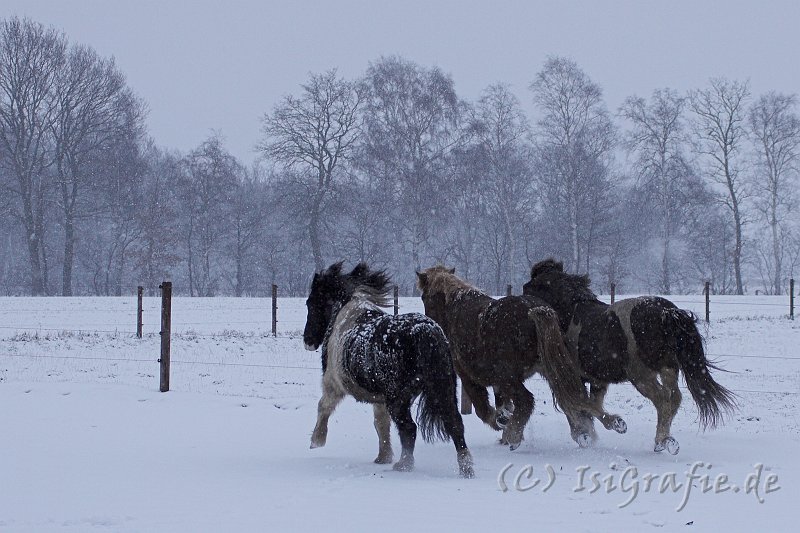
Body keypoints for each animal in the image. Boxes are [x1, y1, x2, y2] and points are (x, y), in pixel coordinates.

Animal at [304, 262, 472, 478]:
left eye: (310, 303)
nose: (307, 341)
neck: (344, 317)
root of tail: (425, 331)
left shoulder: (334, 383)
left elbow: (323, 406)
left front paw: (316, 440)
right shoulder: (380, 398)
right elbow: (381, 424)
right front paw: (383, 456)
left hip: (399, 398)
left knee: (409, 427)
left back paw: (404, 464)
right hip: (442, 389)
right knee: (454, 423)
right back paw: (466, 468)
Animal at [520, 258, 736, 454]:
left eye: (528, 289)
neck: (569, 313)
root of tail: (667, 311)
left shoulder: (569, 377)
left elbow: (575, 403)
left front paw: (590, 433)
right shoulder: (597, 380)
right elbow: (590, 403)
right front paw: (600, 429)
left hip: (642, 376)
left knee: (663, 399)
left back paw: (662, 441)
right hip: (668, 367)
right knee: (674, 397)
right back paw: (666, 442)